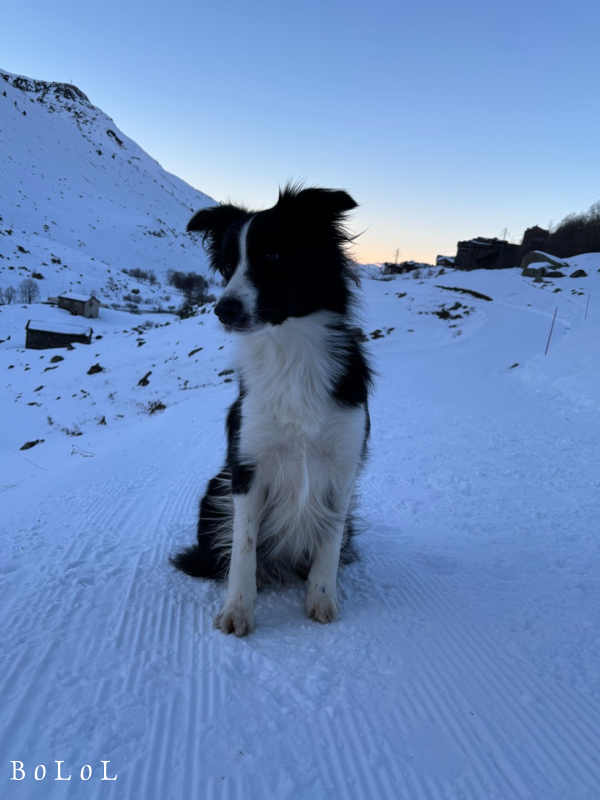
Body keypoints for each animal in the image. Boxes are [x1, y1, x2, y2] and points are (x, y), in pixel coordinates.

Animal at [171, 184, 372, 636]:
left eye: (273, 256)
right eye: (228, 266)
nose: (223, 309)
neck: (289, 351)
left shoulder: (342, 466)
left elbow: (329, 542)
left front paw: (322, 599)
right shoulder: (247, 466)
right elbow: (244, 546)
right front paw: (238, 610)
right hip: (215, 488)